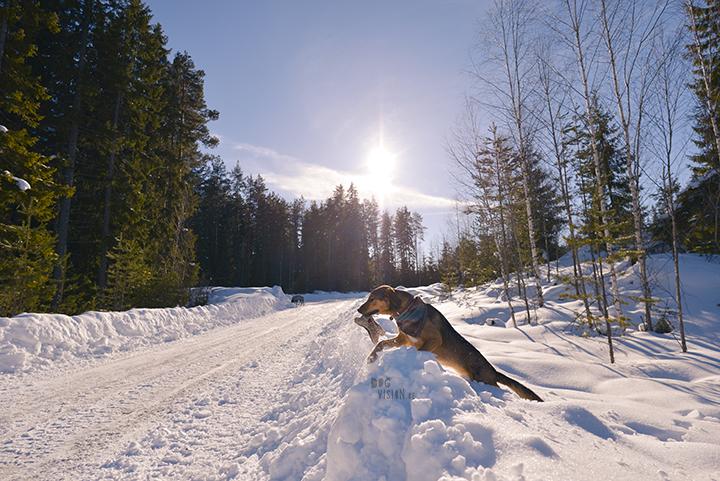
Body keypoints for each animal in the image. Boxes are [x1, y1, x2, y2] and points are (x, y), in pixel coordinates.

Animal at [358, 284, 544, 402]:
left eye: (372, 298)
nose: (359, 309)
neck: (406, 310)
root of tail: (493, 371)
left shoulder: (433, 339)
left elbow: (419, 352)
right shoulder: (403, 339)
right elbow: (380, 345)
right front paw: (370, 359)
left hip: (485, 380)